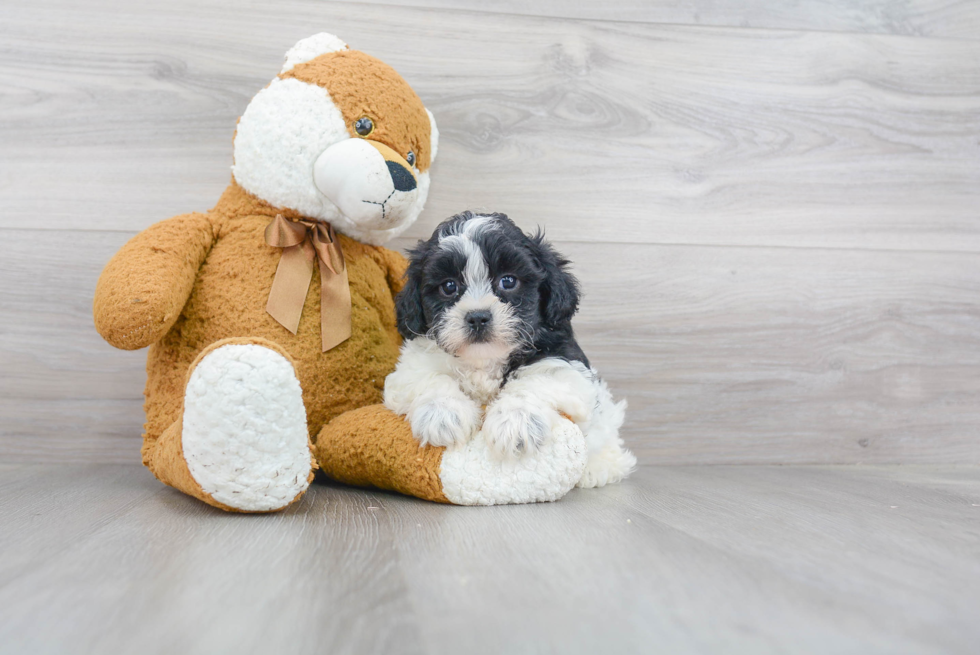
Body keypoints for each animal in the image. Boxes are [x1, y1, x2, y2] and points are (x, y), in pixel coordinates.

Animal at [382, 210, 636, 486]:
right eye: (449, 286)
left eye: (508, 281)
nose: (478, 317)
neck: (485, 360)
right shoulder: (412, 364)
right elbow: (430, 377)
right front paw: (443, 414)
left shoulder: (565, 363)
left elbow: (536, 380)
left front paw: (516, 420)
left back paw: (600, 466)